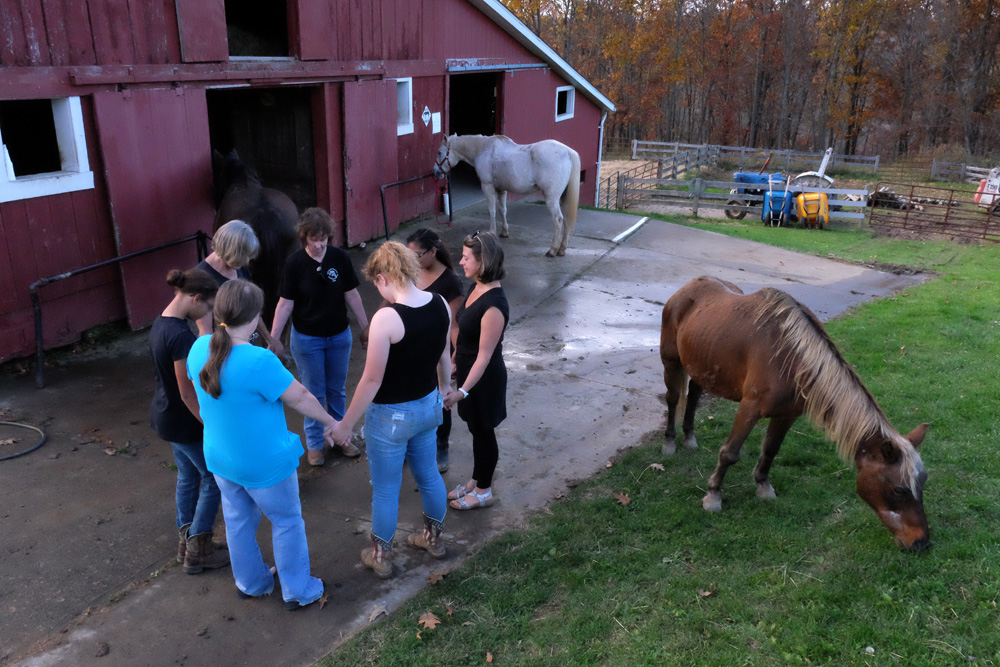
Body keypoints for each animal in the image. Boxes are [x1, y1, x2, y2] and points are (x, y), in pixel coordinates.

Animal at [434, 134, 584, 258]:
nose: (436, 172)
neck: (483, 149)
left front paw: (492, 232)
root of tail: (568, 152)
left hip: (552, 198)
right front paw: (504, 232)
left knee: (558, 219)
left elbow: (492, 211)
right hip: (563, 197)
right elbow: (503, 210)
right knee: (566, 219)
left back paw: (552, 250)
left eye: (440, 152)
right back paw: (562, 249)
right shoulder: (502, 190)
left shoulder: (487, 187)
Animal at [656, 276, 928, 552]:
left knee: (693, 395)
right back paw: (670, 442)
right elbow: (730, 453)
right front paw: (713, 496)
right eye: (899, 490)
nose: (921, 542)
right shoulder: (749, 407)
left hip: (702, 365)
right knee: (673, 399)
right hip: (672, 362)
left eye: (922, 483)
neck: (791, 357)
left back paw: (689, 438)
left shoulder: (787, 415)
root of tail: (688, 287)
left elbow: (770, 451)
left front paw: (763, 487)